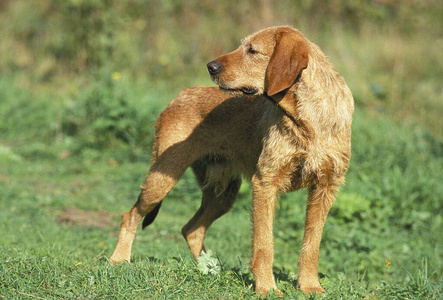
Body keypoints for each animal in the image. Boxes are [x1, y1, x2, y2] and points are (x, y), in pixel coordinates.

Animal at [110, 25, 354, 296]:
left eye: (252, 50)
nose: (210, 66)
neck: (306, 120)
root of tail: (180, 95)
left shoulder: (326, 186)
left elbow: (312, 244)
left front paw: (310, 286)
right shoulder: (265, 182)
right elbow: (264, 244)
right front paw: (267, 288)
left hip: (223, 195)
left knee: (192, 229)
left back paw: (209, 268)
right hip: (162, 178)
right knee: (130, 215)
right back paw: (119, 260)